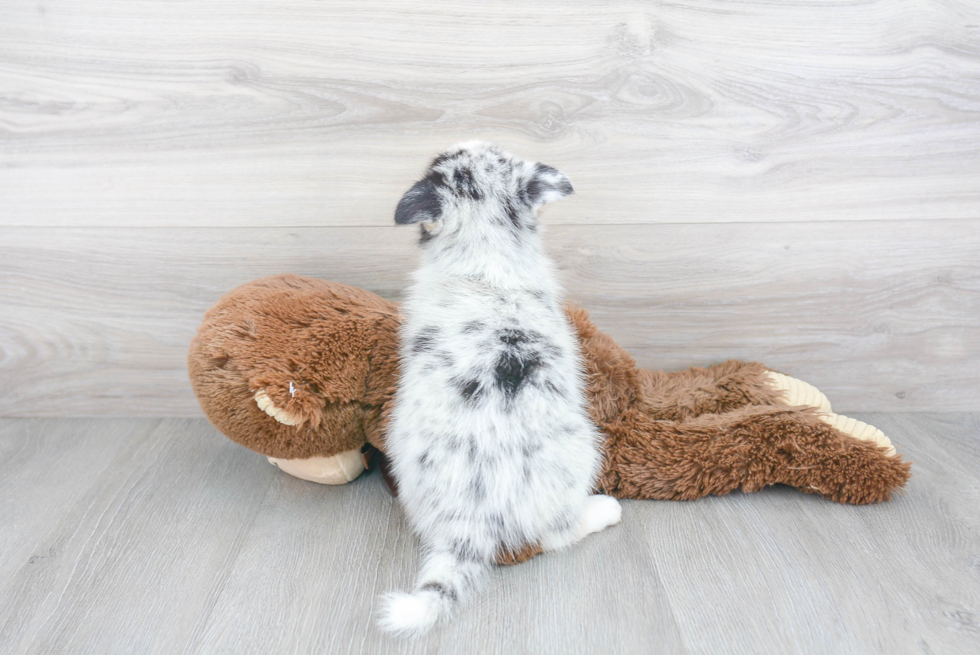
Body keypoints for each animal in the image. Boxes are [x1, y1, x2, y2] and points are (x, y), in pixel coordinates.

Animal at [378, 142, 624, 636]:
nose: (456, 143)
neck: (485, 241)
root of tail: (474, 516)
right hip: (583, 454)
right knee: (556, 534)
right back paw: (606, 509)